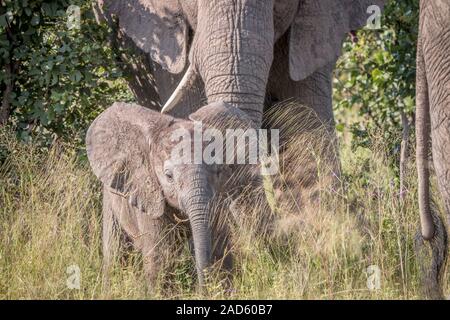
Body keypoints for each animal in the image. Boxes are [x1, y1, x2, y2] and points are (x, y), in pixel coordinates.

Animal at [86, 101, 258, 288]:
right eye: (168, 176)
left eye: (218, 171)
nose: (201, 290)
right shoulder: (148, 193)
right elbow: (161, 257)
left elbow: (220, 249)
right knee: (115, 252)